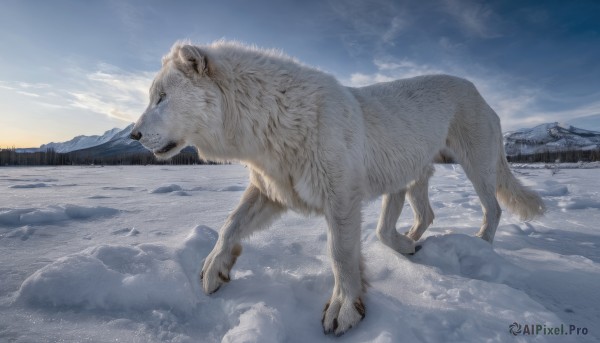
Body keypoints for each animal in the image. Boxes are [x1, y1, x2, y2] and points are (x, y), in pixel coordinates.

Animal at [130, 40, 544, 336]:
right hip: (413, 176)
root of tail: (481, 94)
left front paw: (345, 308)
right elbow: (230, 224)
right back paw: (411, 242)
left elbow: (340, 254)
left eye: (162, 98)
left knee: (493, 208)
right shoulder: (271, 190)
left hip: (476, 165)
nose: (133, 135)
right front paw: (214, 268)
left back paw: (480, 246)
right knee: (421, 215)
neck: (270, 119)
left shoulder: (341, 196)